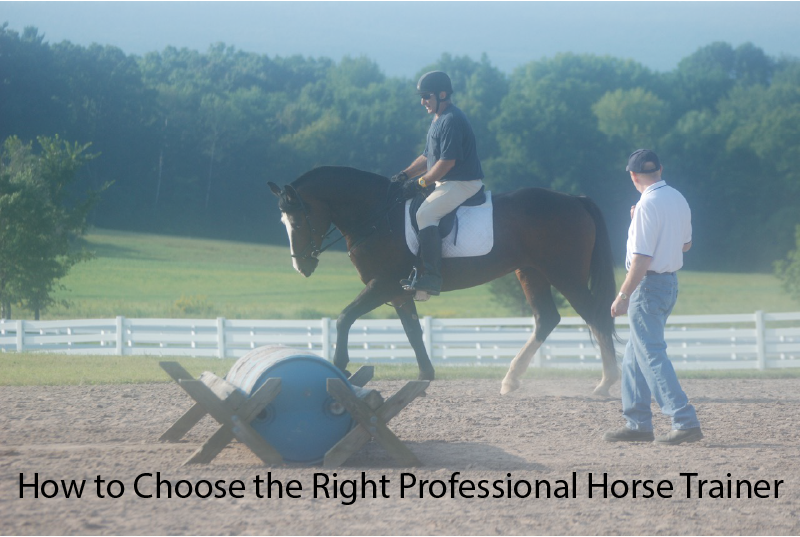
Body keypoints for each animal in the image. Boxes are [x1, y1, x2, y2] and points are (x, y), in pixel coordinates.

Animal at [268, 166, 619, 396]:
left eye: (297, 220)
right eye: (282, 221)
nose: (301, 266)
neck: (378, 216)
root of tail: (575, 199)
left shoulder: (382, 284)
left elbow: (344, 318)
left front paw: (340, 366)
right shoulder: (398, 291)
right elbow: (412, 331)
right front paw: (425, 375)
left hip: (565, 274)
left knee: (596, 316)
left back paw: (606, 383)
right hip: (531, 272)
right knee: (547, 318)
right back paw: (511, 379)